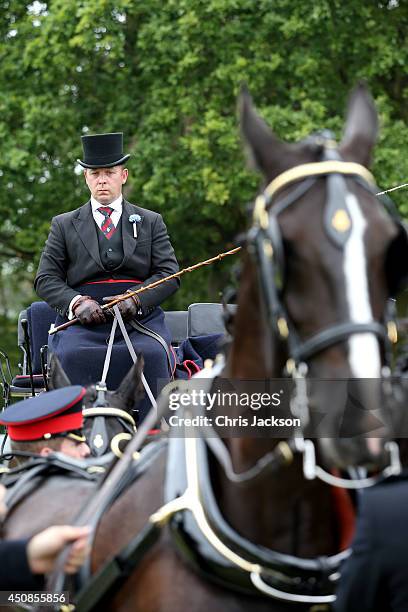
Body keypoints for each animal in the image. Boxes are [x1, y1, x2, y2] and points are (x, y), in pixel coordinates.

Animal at [2, 82, 404, 612]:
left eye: (390, 247)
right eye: (281, 249)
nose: (359, 414)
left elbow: (160, 272)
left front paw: (125, 301)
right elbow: (52, 275)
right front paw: (89, 306)